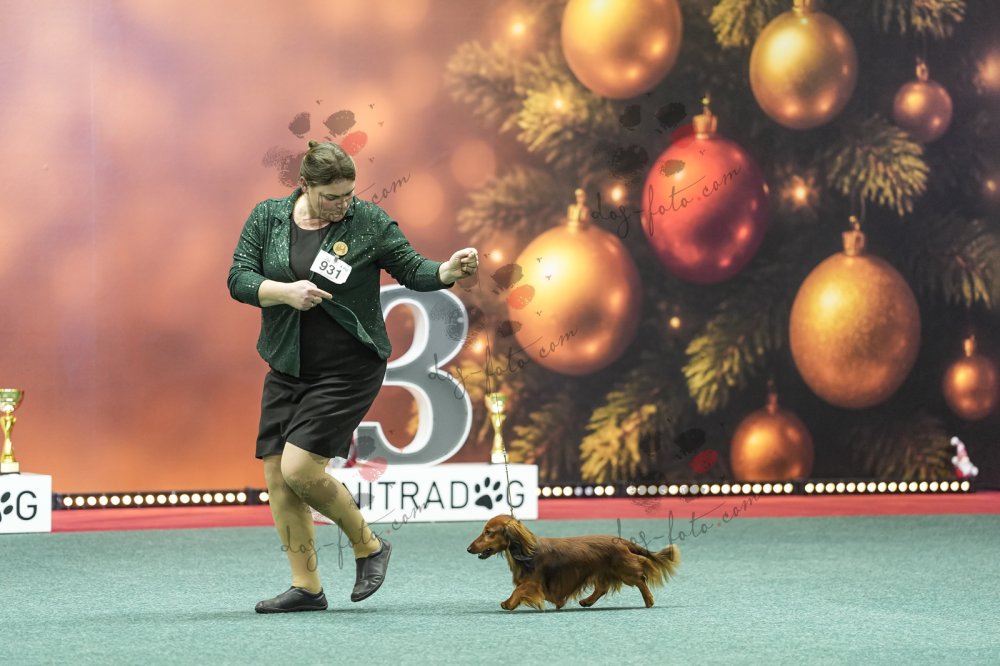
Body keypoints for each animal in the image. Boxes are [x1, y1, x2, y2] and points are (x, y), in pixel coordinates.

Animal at [467, 514, 680, 610]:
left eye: (489, 532)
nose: (468, 549)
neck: (526, 551)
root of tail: (620, 540)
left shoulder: (533, 582)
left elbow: (519, 590)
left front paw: (508, 603)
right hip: (603, 571)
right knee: (602, 588)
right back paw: (587, 601)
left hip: (623, 569)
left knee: (640, 579)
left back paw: (649, 600)